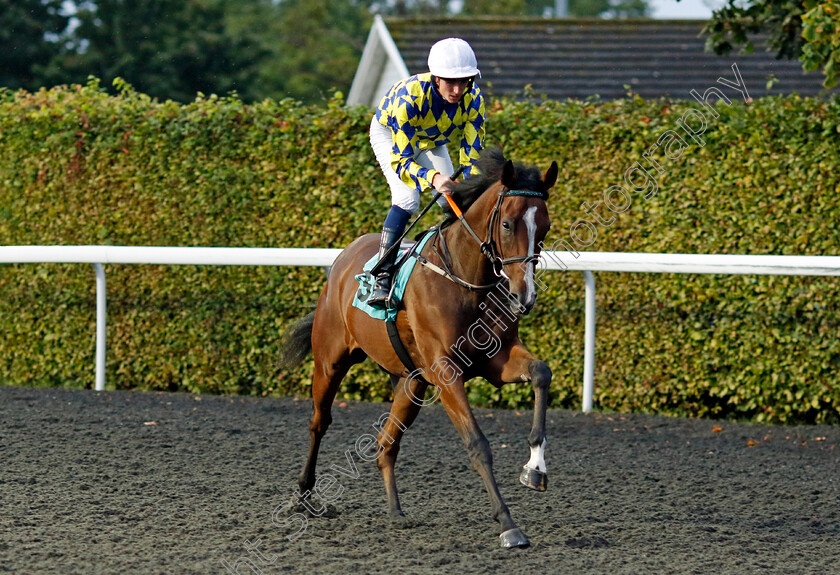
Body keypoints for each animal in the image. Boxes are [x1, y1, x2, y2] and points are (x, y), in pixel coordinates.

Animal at [280, 148, 556, 548]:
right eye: (506, 224)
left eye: (545, 227)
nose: (525, 296)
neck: (465, 279)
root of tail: (344, 258)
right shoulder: (446, 371)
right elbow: (478, 443)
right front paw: (508, 524)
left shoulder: (496, 360)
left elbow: (540, 373)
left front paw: (535, 468)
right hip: (330, 361)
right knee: (319, 422)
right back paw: (302, 495)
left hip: (412, 383)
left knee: (385, 445)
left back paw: (396, 512)